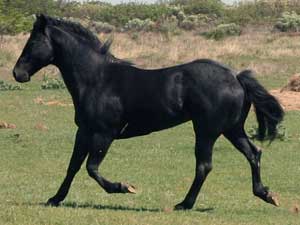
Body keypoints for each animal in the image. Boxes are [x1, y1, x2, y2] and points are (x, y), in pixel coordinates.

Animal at [12, 14, 284, 210]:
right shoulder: (85, 132)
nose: (18, 73)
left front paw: (125, 187)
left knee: (204, 165)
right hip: (232, 129)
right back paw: (266, 194)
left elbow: (92, 168)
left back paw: (184, 204)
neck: (97, 79)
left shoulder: (103, 134)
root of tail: (236, 77)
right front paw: (55, 198)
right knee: (253, 154)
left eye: (33, 42)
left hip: (206, 131)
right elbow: (74, 166)